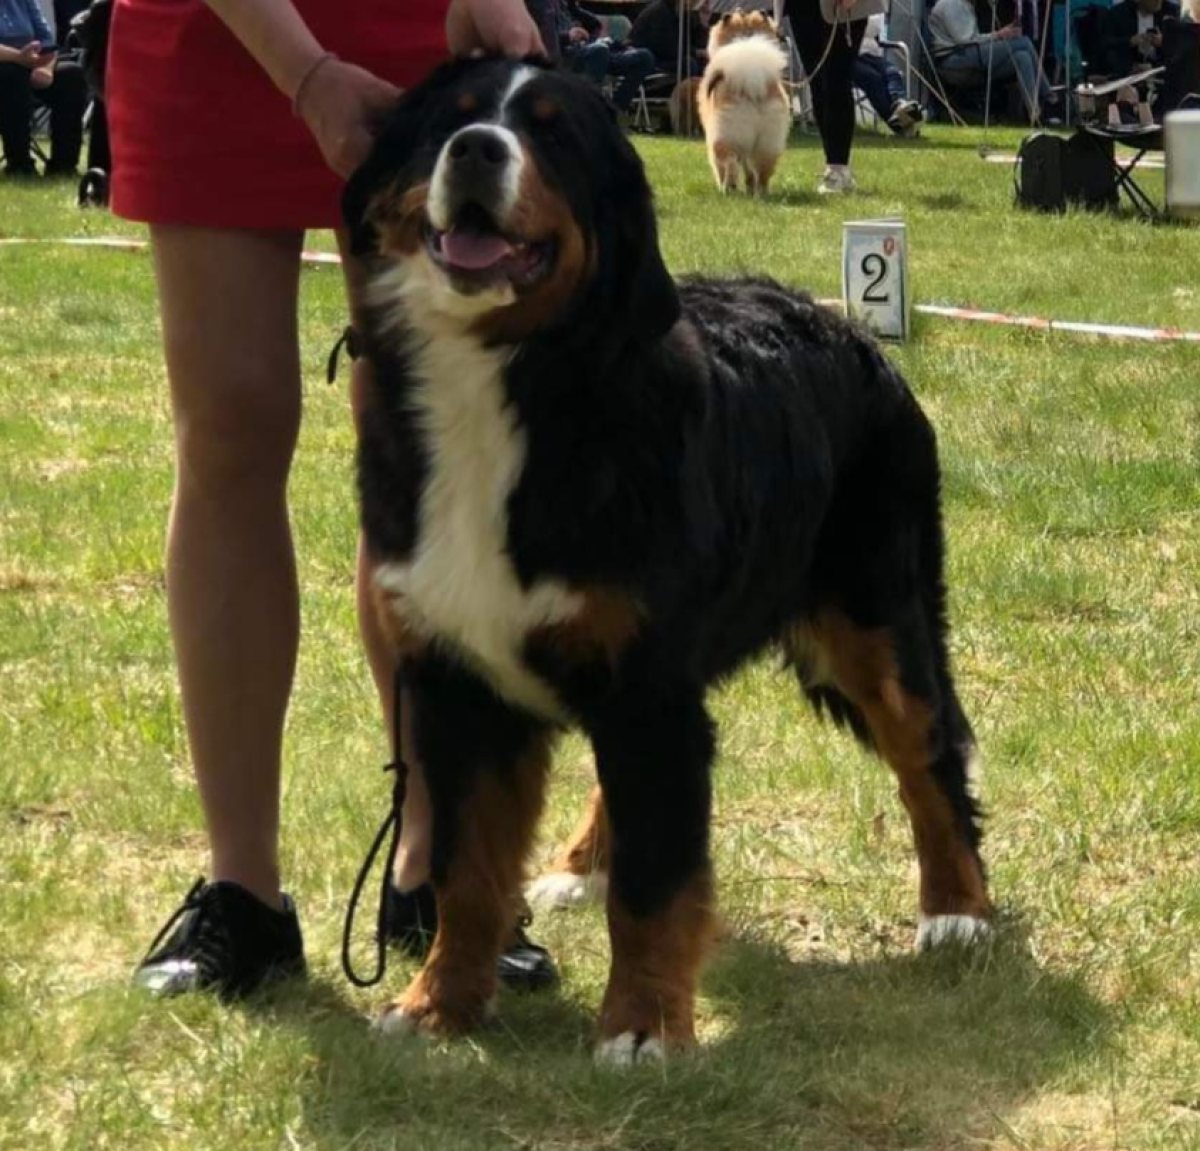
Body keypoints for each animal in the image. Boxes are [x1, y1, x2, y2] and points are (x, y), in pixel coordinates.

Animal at [343, 54, 988, 1060]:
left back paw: (959, 908)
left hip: (877, 619)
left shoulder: (644, 685)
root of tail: (852, 331)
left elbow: (658, 886)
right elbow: (469, 873)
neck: (517, 383)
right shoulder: (463, 684)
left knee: (929, 754)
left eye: (552, 132)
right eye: (450, 119)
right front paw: (439, 1005)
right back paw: (580, 865)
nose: (478, 149)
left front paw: (643, 1026)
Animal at [700, 11, 792, 193]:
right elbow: (748, 170)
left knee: (729, 162)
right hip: (768, 142)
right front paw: (750, 186)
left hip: (724, 136)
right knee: (763, 171)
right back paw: (761, 193)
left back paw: (727, 189)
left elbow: (721, 167)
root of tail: (753, 86)